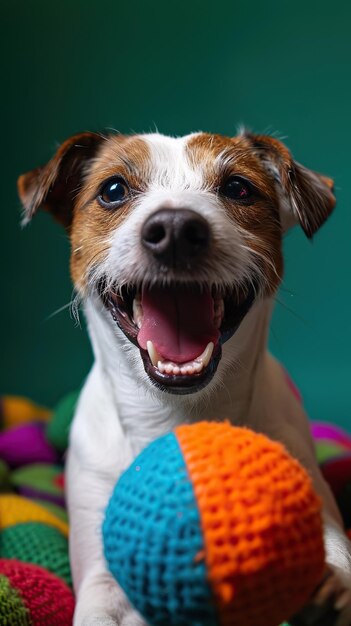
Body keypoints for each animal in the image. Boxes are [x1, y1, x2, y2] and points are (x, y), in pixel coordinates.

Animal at [17, 129, 351, 620]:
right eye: (112, 190)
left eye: (238, 188)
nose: (175, 228)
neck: (175, 414)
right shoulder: (100, 573)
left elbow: (337, 559)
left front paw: (330, 593)